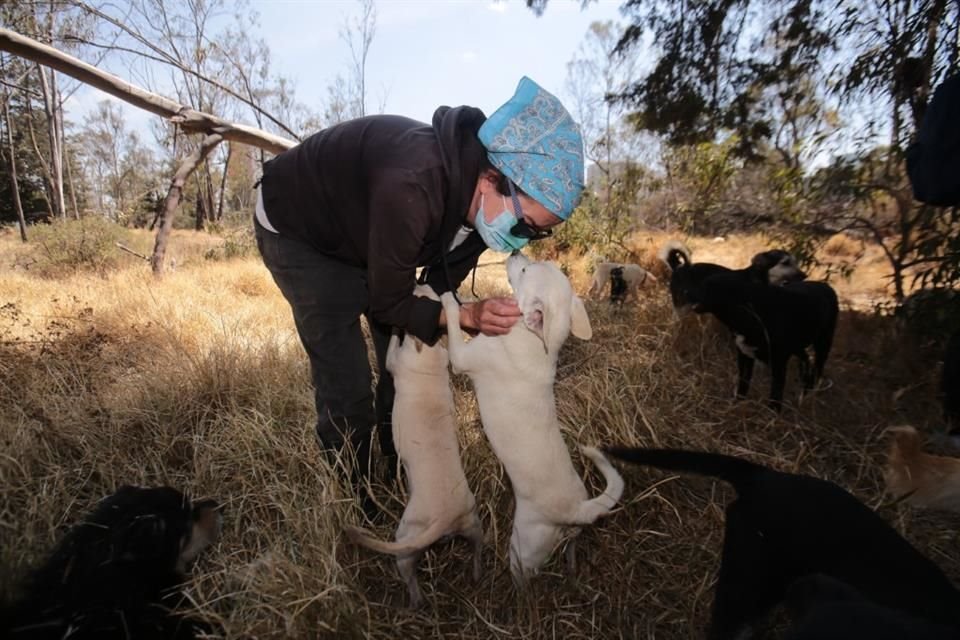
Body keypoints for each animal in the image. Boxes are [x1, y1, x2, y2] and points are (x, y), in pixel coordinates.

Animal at [344, 284, 480, 604]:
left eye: (420, 294)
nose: (420, 283)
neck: (428, 353)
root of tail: (445, 518)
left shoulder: (395, 360)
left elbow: (393, 346)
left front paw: (395, 326)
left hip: (407, 537)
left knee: (407, 567)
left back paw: (416, 600)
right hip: (474, 524)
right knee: (479, 550)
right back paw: (477, 575)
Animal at [440, 252, 624, 584]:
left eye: (524, 270)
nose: (516, 252)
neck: (536, 339)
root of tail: (577, 509)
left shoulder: (461, 358)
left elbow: (452, 321)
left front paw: (447, 297)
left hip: (523, 550)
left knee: (523, 578)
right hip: (572, 537)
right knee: (572, 549)